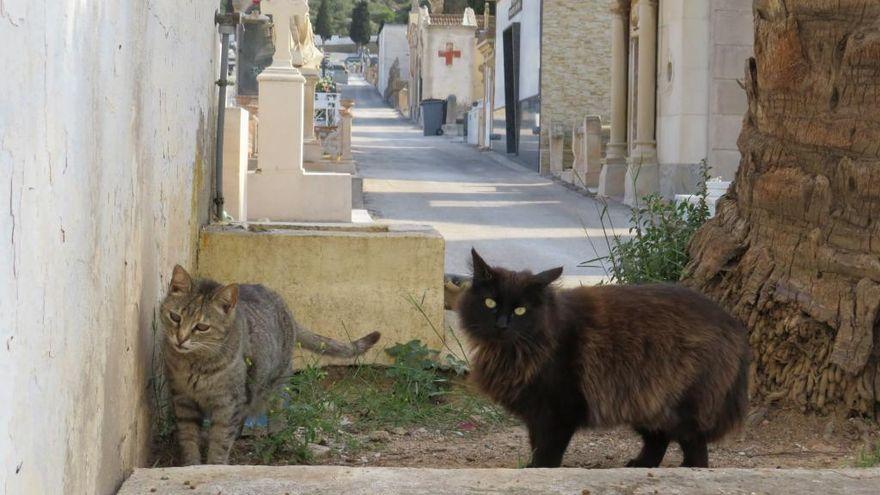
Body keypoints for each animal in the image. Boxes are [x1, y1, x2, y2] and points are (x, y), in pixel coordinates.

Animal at [160, 266, 380, 466]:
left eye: (202, 327)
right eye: (175, 317)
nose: (180, 339)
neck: (193, 364)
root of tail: (283, 304)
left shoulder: (228, 403)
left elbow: (220, 440)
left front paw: (214, 465)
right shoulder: (183, 400)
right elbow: (188, 438)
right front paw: (192, 465)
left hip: (276, 383)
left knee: (276, 413)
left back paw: (274, 440)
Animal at [460, 250, 748, 470]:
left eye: (521, 310)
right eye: (490, 303)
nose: (501, 325)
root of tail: (733, 322)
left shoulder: (558, 411)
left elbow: (547, 452)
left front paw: (539, 470)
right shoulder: (535, 412)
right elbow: (535, 445)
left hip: (679, 405)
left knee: (695, 445)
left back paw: (690, 470)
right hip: (645, 400)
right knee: (658, 439)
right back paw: (640, 465)